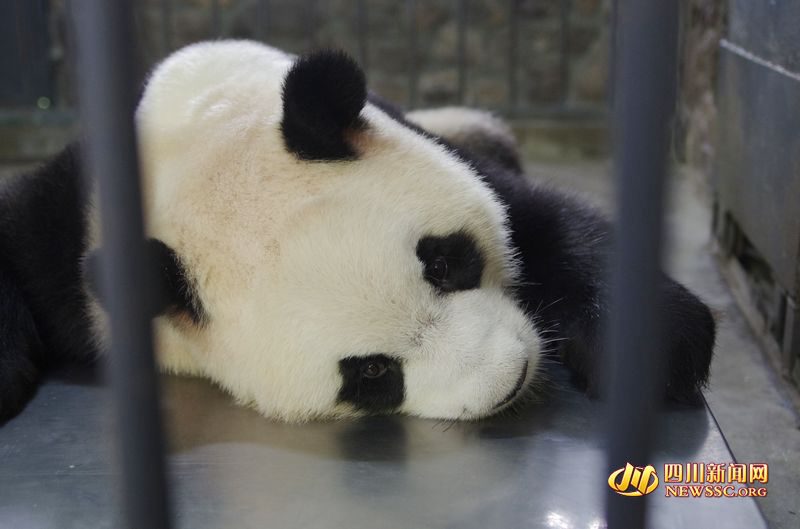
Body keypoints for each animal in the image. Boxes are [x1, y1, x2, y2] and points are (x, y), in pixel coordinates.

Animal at [0, 40, 715, 424]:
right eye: (372, 373)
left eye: (445, 261)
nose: (508, 377)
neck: (197, 149)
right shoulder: (71, 227)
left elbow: (544, 221)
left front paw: (653, 349)